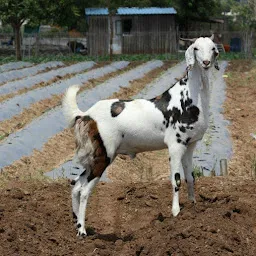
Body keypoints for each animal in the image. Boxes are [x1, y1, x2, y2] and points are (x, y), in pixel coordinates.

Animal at [63, 35, 219, 237]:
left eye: (213, 48)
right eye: (196, 48)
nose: (206, 63)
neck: (190, 96)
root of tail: (86, 114)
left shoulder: (189, 146)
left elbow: (190, 177)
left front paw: (193, 208)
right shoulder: (175, 147)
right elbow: (176, 180)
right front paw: (176, 214)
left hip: (95, 159)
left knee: (76, 186)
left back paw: (76, 222)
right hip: (104, 157)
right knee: (83, 191)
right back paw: (82, 230)